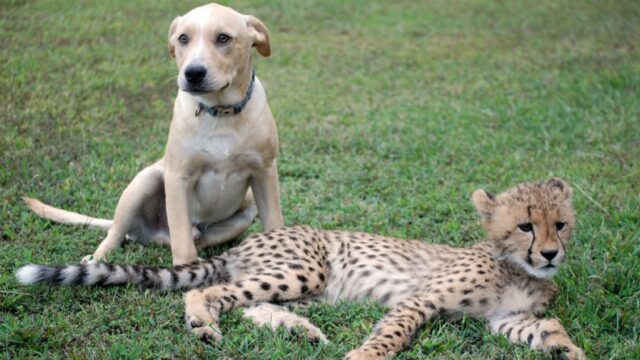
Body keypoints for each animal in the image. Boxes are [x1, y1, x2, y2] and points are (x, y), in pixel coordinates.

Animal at [23, 3, 282, 264]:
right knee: (117, 234)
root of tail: (150, 232)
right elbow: (181, 240)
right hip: (145, 180)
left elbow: (274, 222)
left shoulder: (265, 172)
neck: (219, 112)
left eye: (223, 38)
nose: (193, 73)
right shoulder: (178, 177)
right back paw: (97, 259)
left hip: (247, 208)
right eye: (183, 38)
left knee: (193, 241)